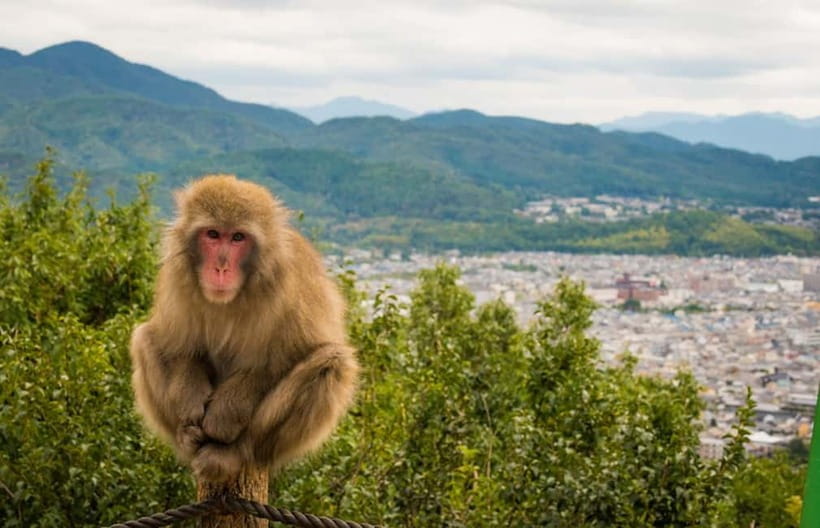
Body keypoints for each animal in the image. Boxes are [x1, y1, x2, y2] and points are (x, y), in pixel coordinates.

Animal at [129, 174, 359, 483]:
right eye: (213, 234)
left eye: (238, 237)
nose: (221, 268)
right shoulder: (177, 278)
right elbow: (179, 347)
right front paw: (190, 401)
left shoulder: (290, 285)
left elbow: (281, 360)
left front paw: (224, 417)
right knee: (143, 339)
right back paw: (187, 438)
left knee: (332, 361)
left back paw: (236, 451)